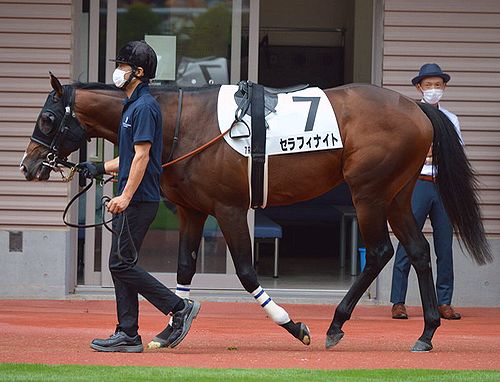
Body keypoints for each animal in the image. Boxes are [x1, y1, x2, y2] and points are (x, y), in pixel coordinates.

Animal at [21, 73, 490, 350]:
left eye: (47, 119)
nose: (28, 166)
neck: (181, 122)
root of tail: (418, 108)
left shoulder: (229, 209)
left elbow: (247, 274)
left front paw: (292, 324)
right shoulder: (192, 211)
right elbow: (185, 270)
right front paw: (173, 326)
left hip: (369, 193)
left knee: (379, 253)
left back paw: (335, 324)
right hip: (397, 195)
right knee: (418, 251)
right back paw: (426, 332)